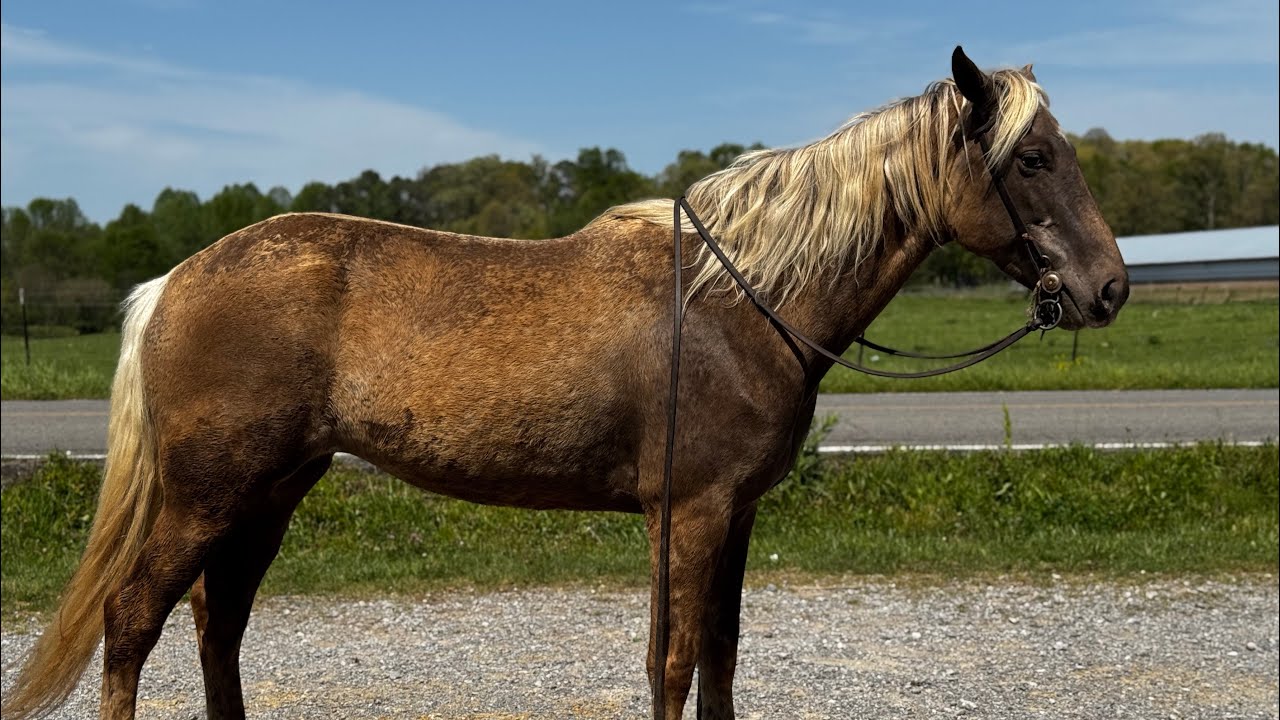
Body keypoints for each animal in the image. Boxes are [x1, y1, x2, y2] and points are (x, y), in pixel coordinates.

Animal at [2, 46, 1128, 719]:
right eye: (1031, 158)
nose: (1107, 287)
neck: (736, 297)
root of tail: (178, 279)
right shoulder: (691, 512)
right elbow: (674, 658)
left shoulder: (732, 517)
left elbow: (719, 654)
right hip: (209, 494)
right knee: (135, 619)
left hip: (272, 490)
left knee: (218, 622)